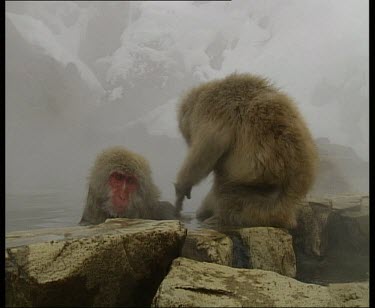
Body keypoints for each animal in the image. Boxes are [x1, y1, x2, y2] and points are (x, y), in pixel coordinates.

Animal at [175, 73, 318, 230]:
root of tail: (284, 213)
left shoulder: (211, 107)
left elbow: (210, 144)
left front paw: (182, 187)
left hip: (254, 195)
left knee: (225, 186)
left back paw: (221, 218)